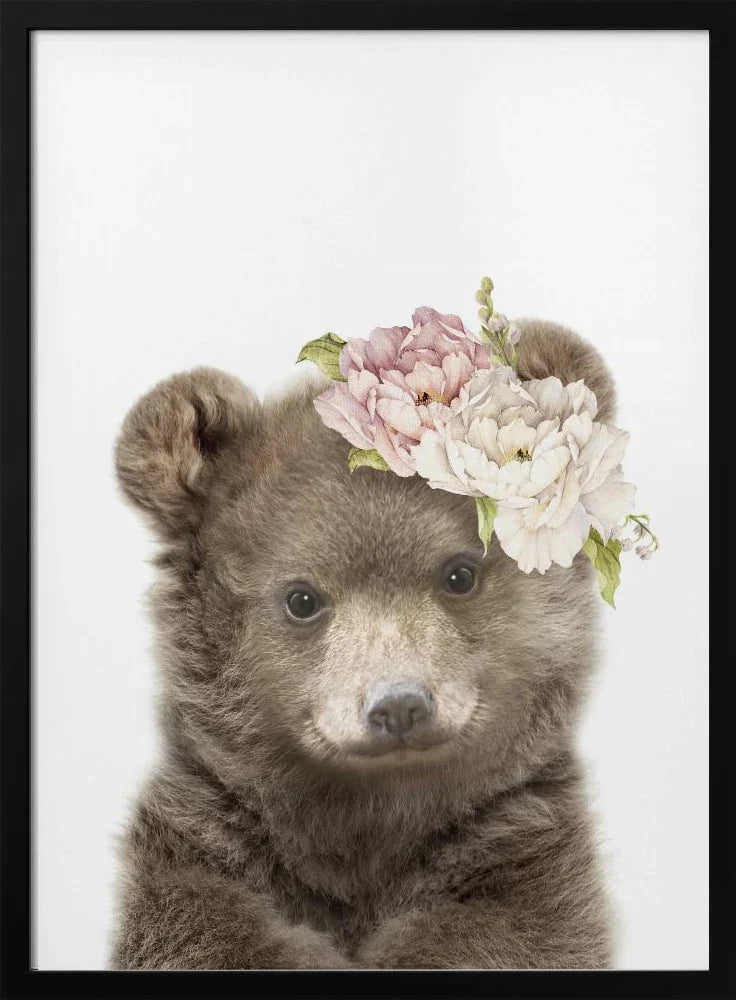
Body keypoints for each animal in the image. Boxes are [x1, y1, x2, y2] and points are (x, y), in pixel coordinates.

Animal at [110, 318, 617, 970]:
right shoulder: (205, 839)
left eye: (460, 573)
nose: (398, 705)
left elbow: (509, 934)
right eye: (302, 598)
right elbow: (204, 926)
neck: (368, 824)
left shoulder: (520, 847)